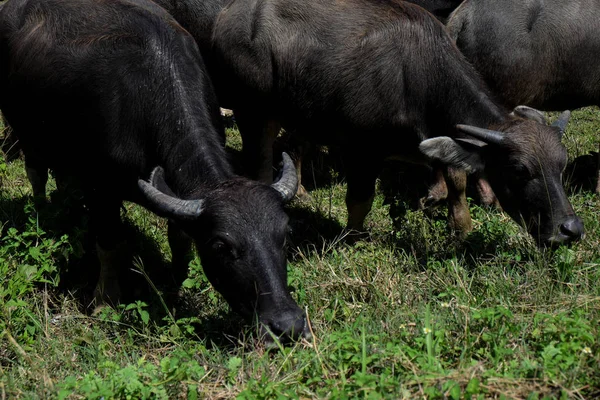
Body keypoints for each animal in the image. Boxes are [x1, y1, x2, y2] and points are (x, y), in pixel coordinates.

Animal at [0, 0, 310, 344]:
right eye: (221, 245)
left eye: (285, 234)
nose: (286, 324)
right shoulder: (101, 190)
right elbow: (109, 245)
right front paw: (105, 301)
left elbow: (181, 242)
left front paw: (174, 287)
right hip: (24, 129)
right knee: (36, 172)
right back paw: (43, 215)